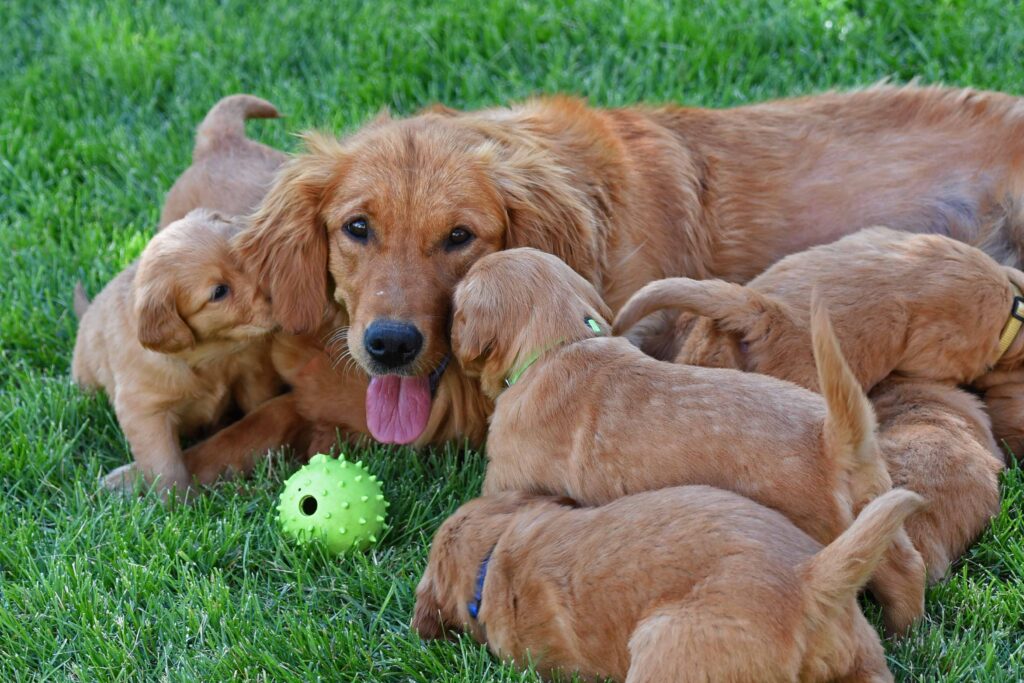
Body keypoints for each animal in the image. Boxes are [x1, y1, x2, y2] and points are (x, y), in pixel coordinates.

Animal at [71, 208, 280, 497]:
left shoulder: (250, 373)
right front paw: (178, 502)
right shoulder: (145, 412)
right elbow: (165, 464)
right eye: (219, 292)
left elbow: (258, 410)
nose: (276, 293)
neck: (212, 354)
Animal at [454, 248, 929, 634]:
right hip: (874, 502)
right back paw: (903, 630)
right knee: (907, 568)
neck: (561, 344)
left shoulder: (506, 480)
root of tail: (831, 438)